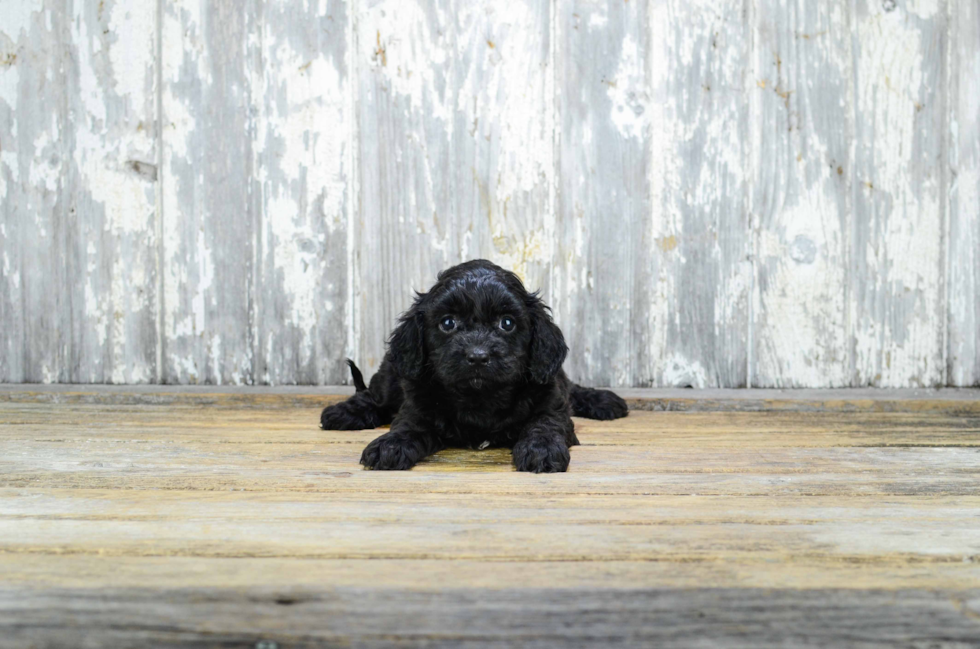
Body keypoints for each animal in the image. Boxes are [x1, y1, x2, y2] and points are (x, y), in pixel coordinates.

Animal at [322, 258, 628, 470]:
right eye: (448, 323)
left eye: (507, 323)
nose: (478, 356)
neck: (480, 397)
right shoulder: (417, 405)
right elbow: (408, 425)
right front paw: (390, 445)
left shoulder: (551, 400)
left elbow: (545, 423)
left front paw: (541, 450)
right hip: (393, 374)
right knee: (376, 396)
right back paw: (343, 412)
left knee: (572, 389)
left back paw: (603, 400)